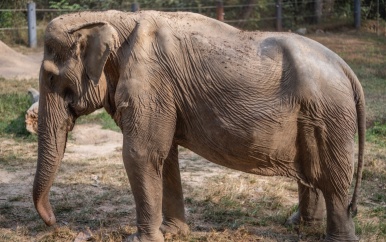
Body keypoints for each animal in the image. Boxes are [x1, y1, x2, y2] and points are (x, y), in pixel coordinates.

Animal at [33, 10, 364, 241]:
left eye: (50, 77)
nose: (55, 222)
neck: (114, 19)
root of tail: (347, 69)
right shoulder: (163, 94)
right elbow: (164, 156)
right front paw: (173, 233)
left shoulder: (151, 84)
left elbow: (141, 154)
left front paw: (139, 239)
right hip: (316, 115)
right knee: (313, 172)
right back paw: (298, 225)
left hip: (330, 115)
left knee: (333, 179)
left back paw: (335, 238)